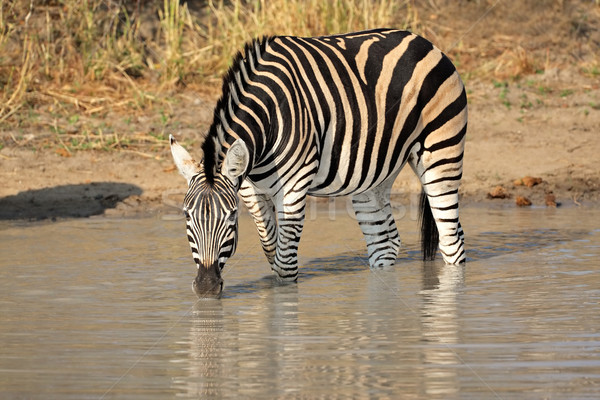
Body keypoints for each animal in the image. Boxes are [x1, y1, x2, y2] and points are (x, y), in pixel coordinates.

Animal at [171, 28, 466, 296]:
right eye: (186, 215)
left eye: (232, 216)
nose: (206, 287)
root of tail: (424, 41)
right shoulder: (249, 189)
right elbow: (270, 250)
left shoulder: (293, 186)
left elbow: (285, 266)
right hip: (374, 176)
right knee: (386, 242)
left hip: (442, 153)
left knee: (452, 240)